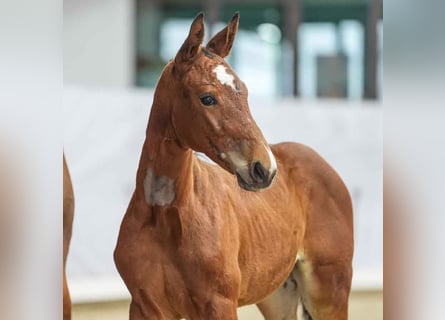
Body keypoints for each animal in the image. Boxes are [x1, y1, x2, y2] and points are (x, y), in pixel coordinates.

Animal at [114, 13, 354, 320]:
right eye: (207, 98)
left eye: (245, 93)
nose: (264, 169)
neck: (165, 217)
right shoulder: (145, 306)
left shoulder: (219, 304)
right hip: (279, 295)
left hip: (330, 290)